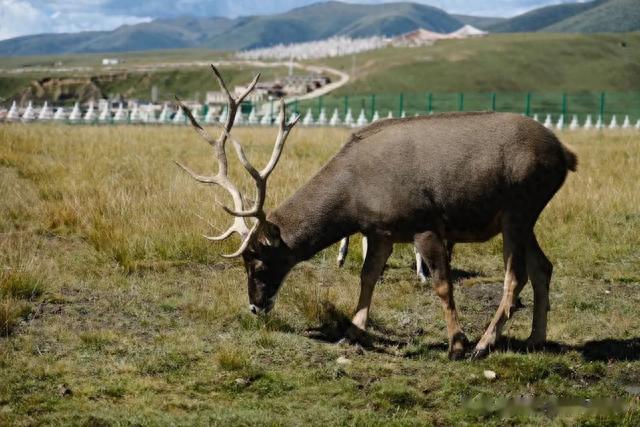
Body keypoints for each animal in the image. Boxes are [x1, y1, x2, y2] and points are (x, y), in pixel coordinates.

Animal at [174, 67, 576, 362]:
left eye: (258, 262)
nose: (256, 307)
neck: (355, 196)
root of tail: (565, 154)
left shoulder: (424, 224)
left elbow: (442, 285)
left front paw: (456, 344)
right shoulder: (381, 231)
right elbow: (367, 277)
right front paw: (352, 332)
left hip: (519, 208)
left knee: (516, 276)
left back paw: (483, 344)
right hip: (524, 217)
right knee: (544, 266)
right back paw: (536, 338)